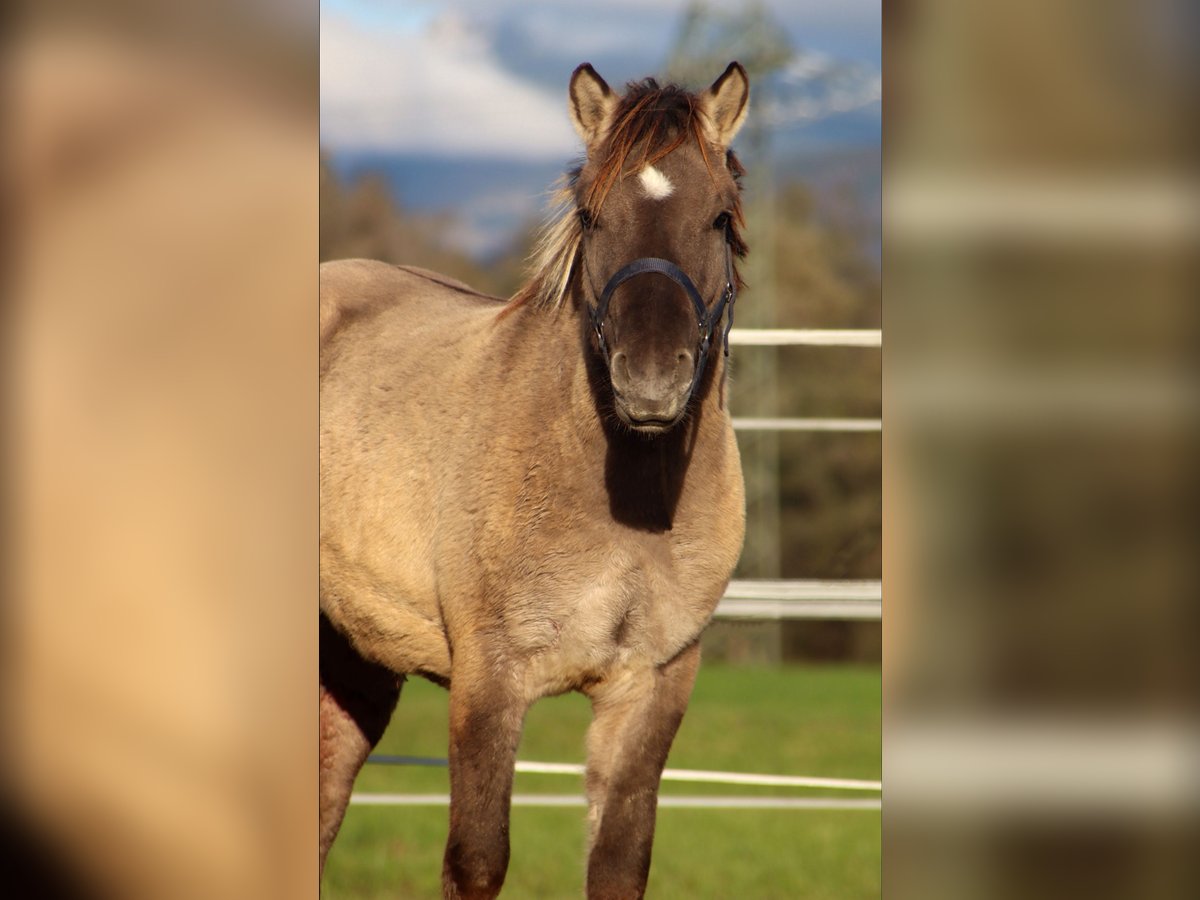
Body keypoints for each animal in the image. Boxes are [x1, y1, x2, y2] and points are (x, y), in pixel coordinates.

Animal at [320, 61, 750, 899]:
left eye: (718, 217)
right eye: (589, 215)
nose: (651, 381)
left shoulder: (649, 688)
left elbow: (618, 864)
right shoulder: (490, 680)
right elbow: (478, 861)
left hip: (353, 662)